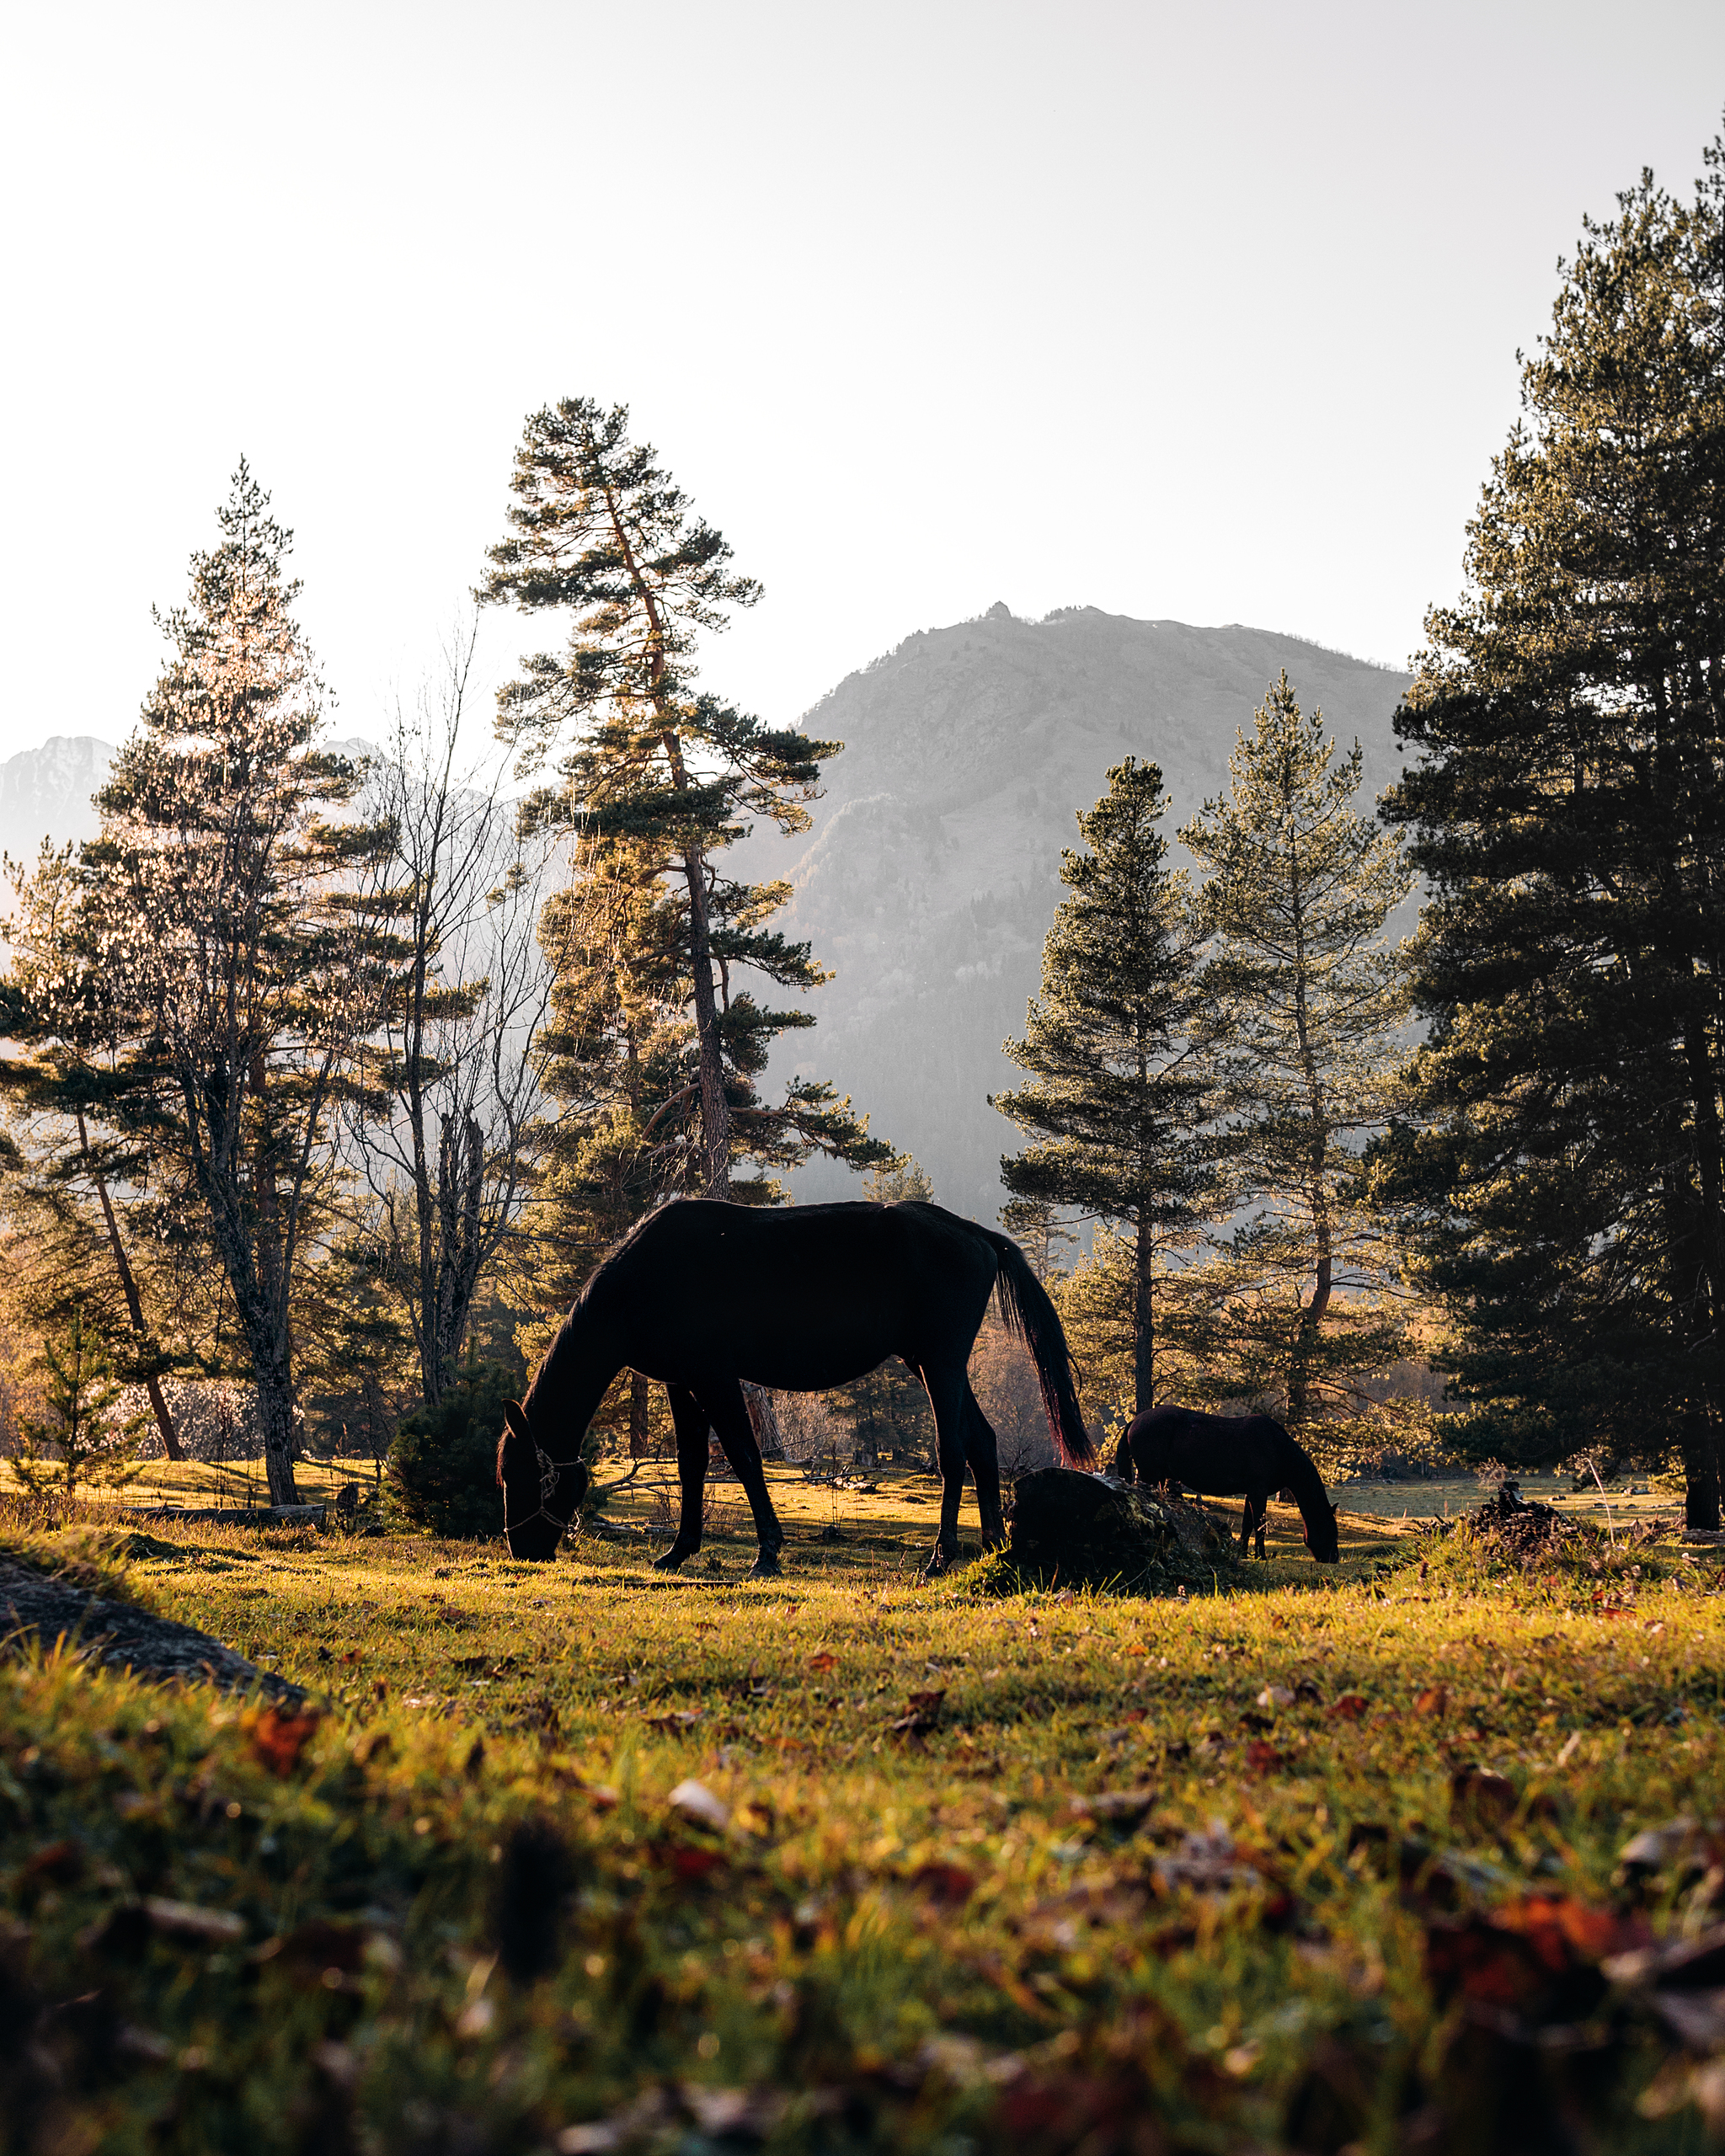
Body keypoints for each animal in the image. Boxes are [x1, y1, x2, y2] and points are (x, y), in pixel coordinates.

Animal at [495, 1190, 1091, 1577]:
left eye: (518, 1475)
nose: (521, 1548)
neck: (645, 1278)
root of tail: (975, 1233)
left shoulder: (714, 1377)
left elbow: (744, 1456)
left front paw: (767, 1552)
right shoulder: (683, 1383)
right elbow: (692, 1465)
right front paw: (679, 1551)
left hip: (940, 1365)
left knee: (953, 1450)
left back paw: (941, 1557)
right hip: (935, 1364)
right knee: (983, 1442)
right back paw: (992, 1546)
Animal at [1112, 1406, 1337, 1561]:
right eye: (1331, 1530)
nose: (1334, 1558)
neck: (1278, 1448)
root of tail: (1136, 1420)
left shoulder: (1251, 1492)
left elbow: (1247, 1526)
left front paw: (1244, 1554)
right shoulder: (1259, 1492)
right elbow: (1260, 1525)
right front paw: (1261, 1556)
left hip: (1157, 1477)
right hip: (1149, 1475)